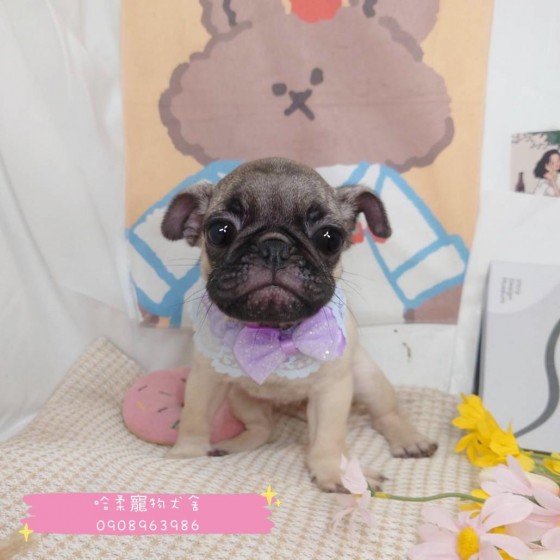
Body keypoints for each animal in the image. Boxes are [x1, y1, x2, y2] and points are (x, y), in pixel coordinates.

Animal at [161, 157, 437, 491]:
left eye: (330, 238)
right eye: (219, 231)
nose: (274, 247)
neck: (275, 332)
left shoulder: (332, 391)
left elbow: (328, 438)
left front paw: (332, 472)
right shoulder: (206, 380)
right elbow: (195, 418)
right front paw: (184, 455)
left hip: (366, 378)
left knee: (386, 413)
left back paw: (407, 440)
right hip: (242, 398)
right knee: (263, 427)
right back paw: (233, 444)